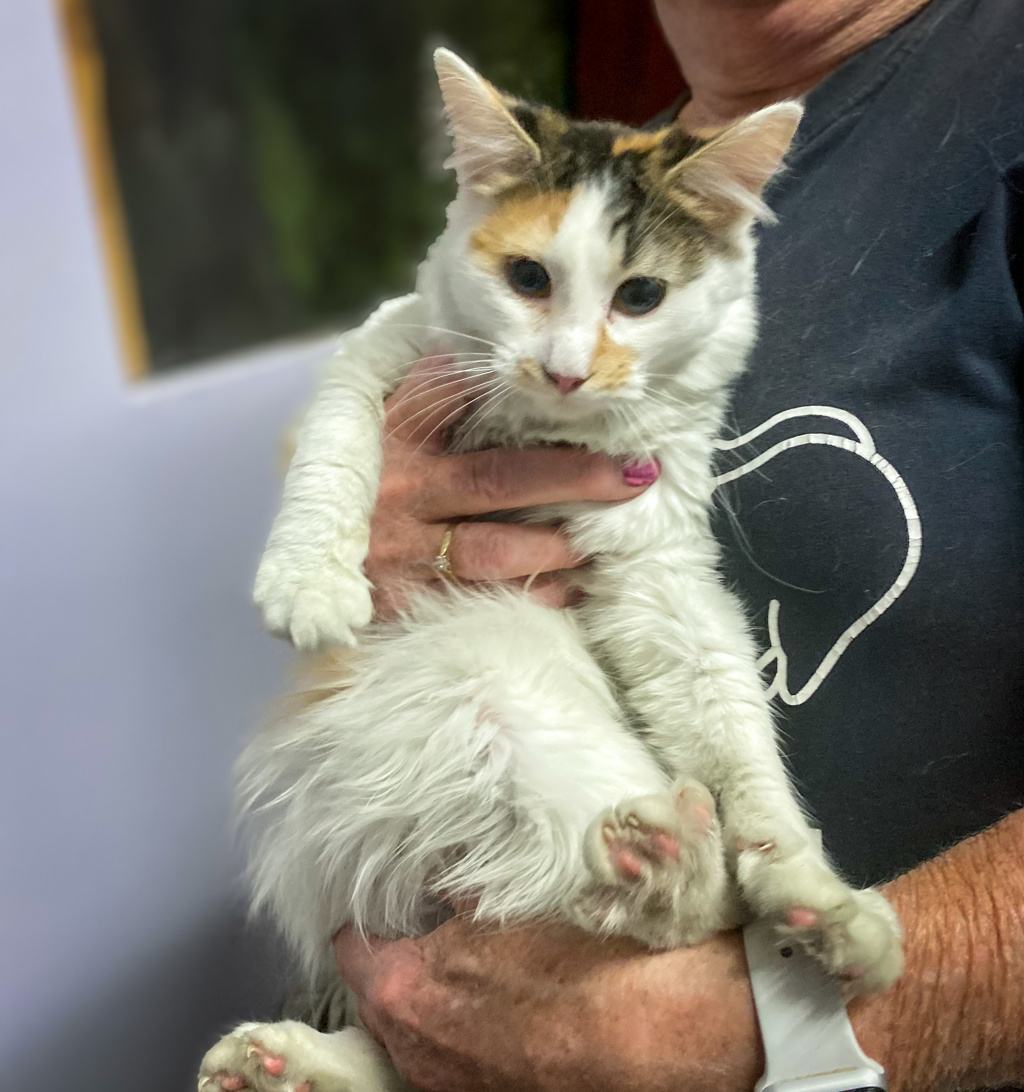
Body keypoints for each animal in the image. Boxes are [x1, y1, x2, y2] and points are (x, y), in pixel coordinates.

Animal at [199, 48, 903, 1092]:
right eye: (528, 277)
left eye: (641, 296)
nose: (567, 369)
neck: (547, 431)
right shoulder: (385, 348)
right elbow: (339, 444)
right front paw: (311, 581)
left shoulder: (659, 567)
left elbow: (742, 749)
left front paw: (811, 889)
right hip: (492, 671)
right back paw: (281, 1062)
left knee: (694, 913)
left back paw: (698, 873)